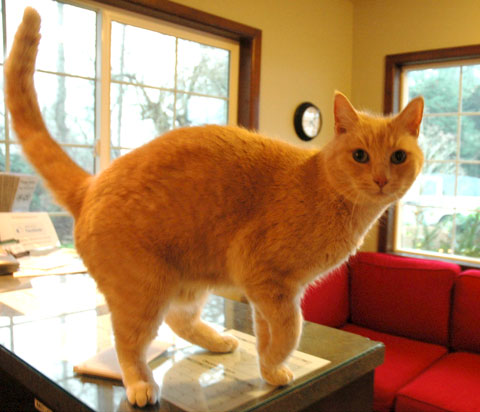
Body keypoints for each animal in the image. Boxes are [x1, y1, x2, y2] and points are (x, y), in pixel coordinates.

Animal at [3, 8, 424, 408]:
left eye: (398, 156)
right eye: (360, 155)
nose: (382, 179)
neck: (329, 193)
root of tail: (92, 183)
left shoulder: (267, 290)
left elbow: (267, 330)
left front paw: (269, 368)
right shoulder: (268, 280)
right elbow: (291, 328)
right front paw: (277, 360)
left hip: (188, 282)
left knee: (178, 319)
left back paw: (220, 341)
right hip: (143, 289)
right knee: (128, 343)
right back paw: (140, 384)